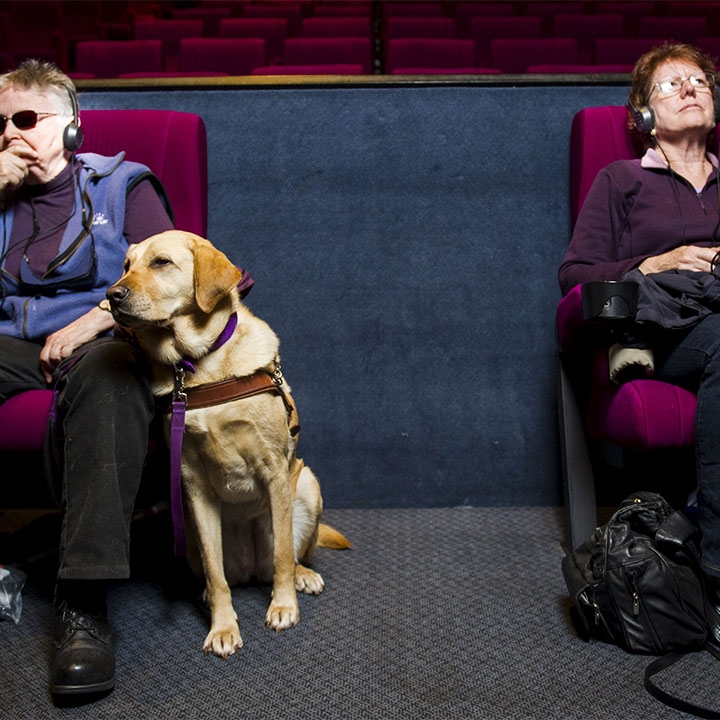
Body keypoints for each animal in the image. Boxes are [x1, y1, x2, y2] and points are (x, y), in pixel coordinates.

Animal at [105, 231, 350, 660]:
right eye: (126, 266)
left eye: (161, 263)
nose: (111, 295)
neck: (202, 367)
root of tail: (252, 568)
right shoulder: (193, 485)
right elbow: (216, 574)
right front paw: (222, 627)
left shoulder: (275, 471)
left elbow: (283, 554)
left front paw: (283, 606)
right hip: (187, 526)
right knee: (219, 571)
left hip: (306, 485)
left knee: (289, 556)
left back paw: (302, 577)